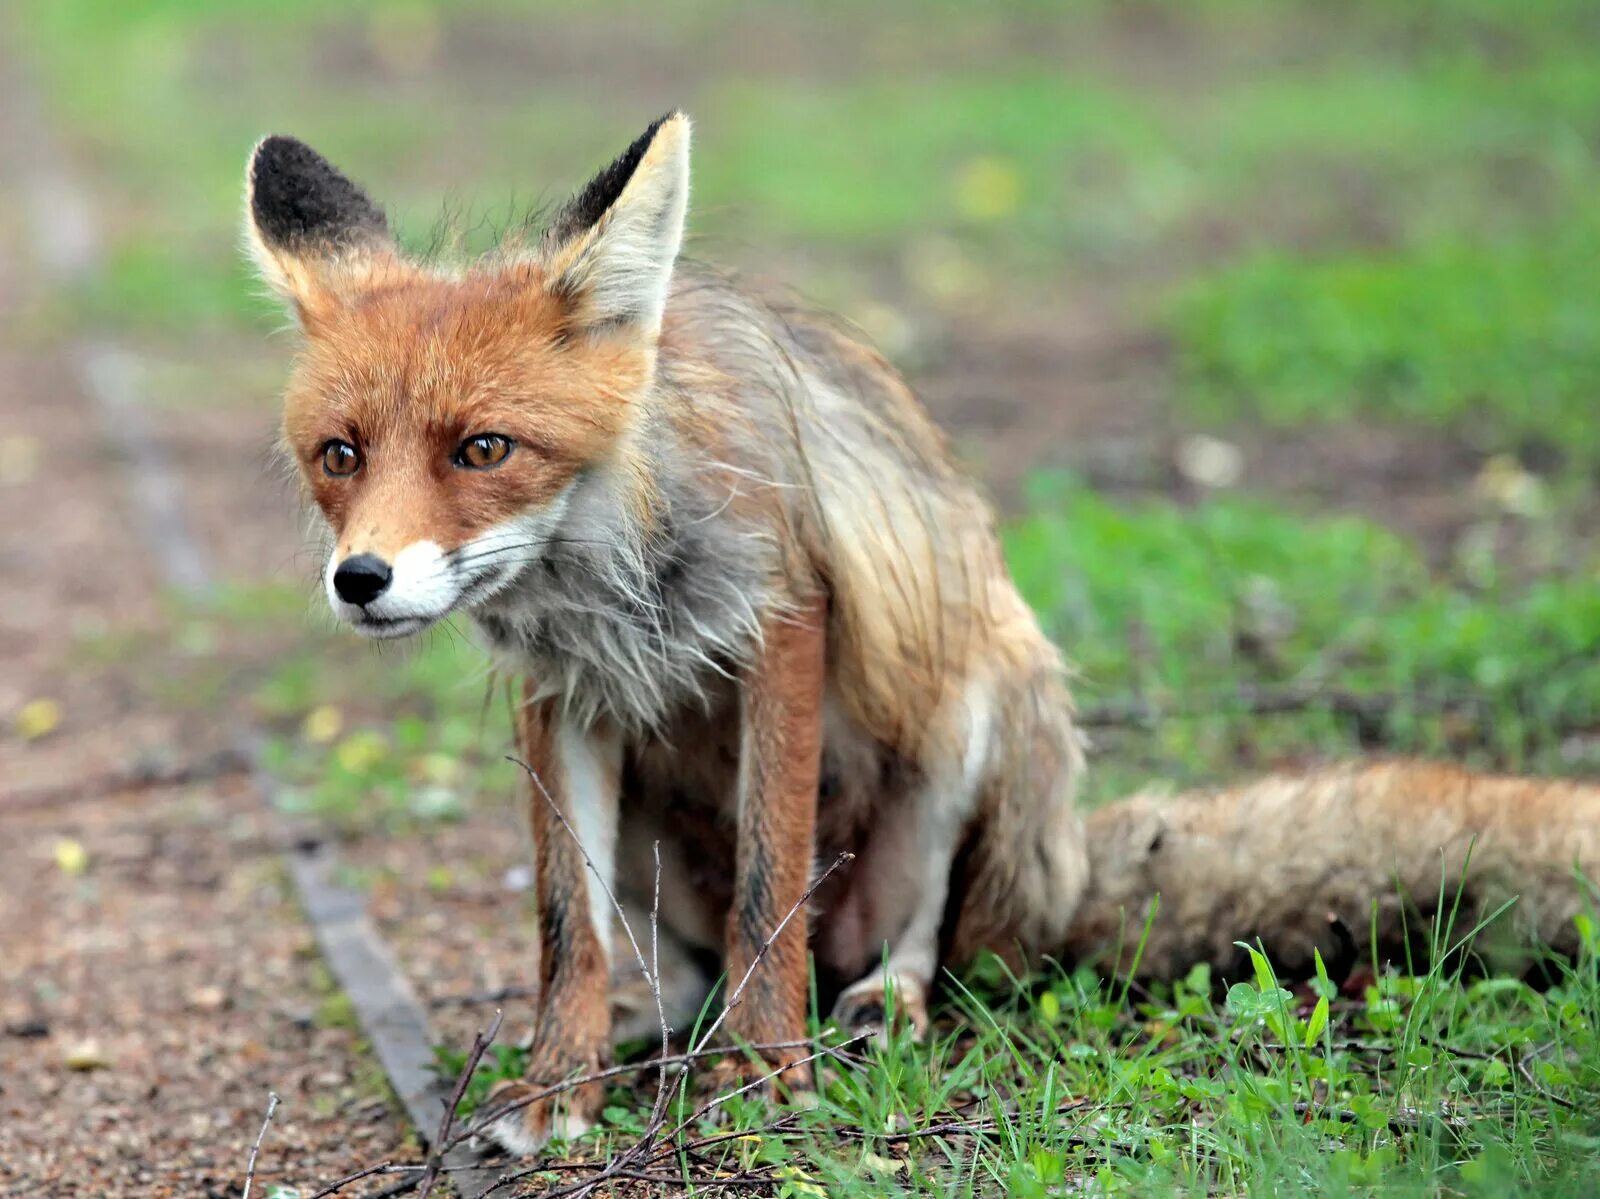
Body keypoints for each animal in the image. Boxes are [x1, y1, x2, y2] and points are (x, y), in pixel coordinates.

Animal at [246, 112, 1600, 1152]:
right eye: (340, 455)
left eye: (484, 448)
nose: (362, 578)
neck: (612, 577)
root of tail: (1062, 873)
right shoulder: (563, 703)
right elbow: (565, 928)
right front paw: (553, 1088)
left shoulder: (783, 626)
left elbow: (769, 885)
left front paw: (765, 1075)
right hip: (650, 828)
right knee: (681, 957)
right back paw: (663, 1025)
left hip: (973, 714)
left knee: (927, 934)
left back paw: (871, 1006)